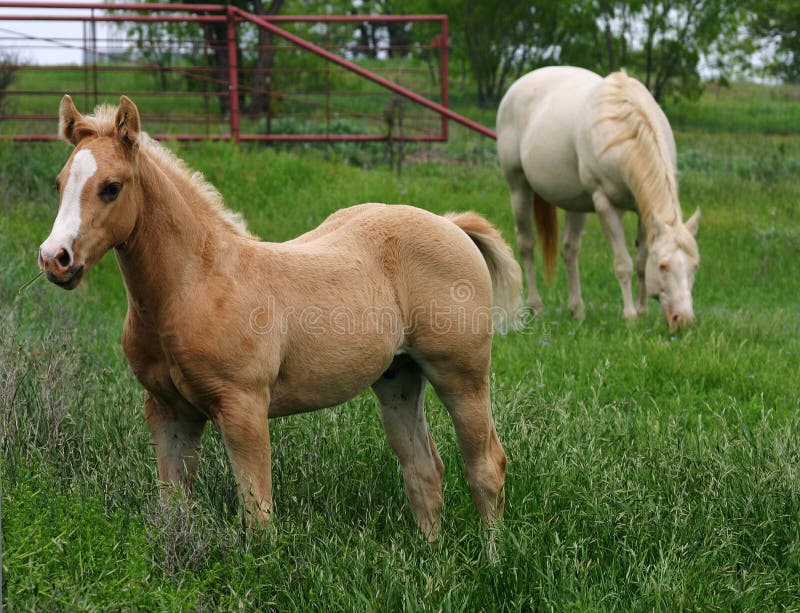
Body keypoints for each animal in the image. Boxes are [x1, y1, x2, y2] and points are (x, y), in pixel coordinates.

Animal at [40, 93, 524, 536]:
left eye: (111, 186)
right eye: (60, 183)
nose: (54, 258)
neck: (195, 285)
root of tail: (451, 224)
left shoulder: (244, 408)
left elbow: (259, 518)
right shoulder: (168, 411)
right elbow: (173, 511)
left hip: (461, 373)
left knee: (487, 466)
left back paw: (491, 558)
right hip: (398, 377)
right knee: (424, 471)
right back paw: (432, 556)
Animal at [496, 65, 696, 330]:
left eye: (694, 266)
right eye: (663, 266)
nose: (683, 320)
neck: (624, 130)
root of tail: (517, 86)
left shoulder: (643, 210)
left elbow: (641, 261)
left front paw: (643, 311)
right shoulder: (604, 204)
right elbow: (623, 264)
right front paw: (630, 316)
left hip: (576, 203)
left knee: (570, 250)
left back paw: (577, 311)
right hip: (519, 187)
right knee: (526, 244)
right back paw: (536, 307)